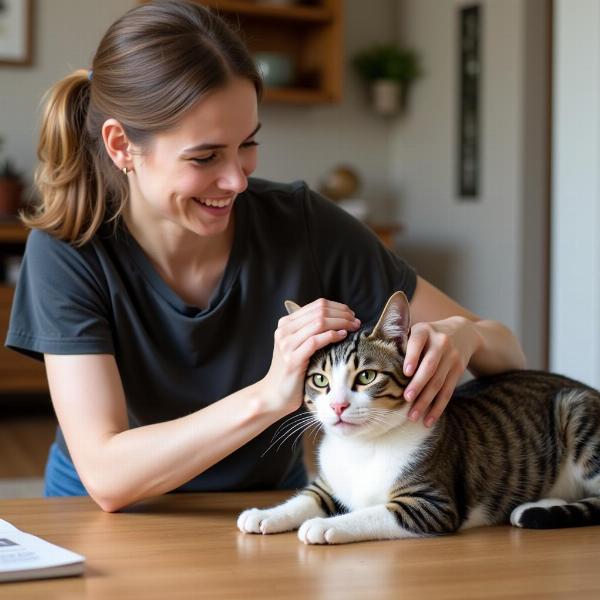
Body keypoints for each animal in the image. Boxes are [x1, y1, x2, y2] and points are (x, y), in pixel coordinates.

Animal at [238, 290, 600, 544]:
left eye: (366, 377)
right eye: (320, 380)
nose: (338, 406)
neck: (363, 448)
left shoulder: (431, 504)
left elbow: (369, 513)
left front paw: (323, 525)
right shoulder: (329, 483)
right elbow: (306, 498)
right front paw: (265, 515)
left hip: (576, 411)